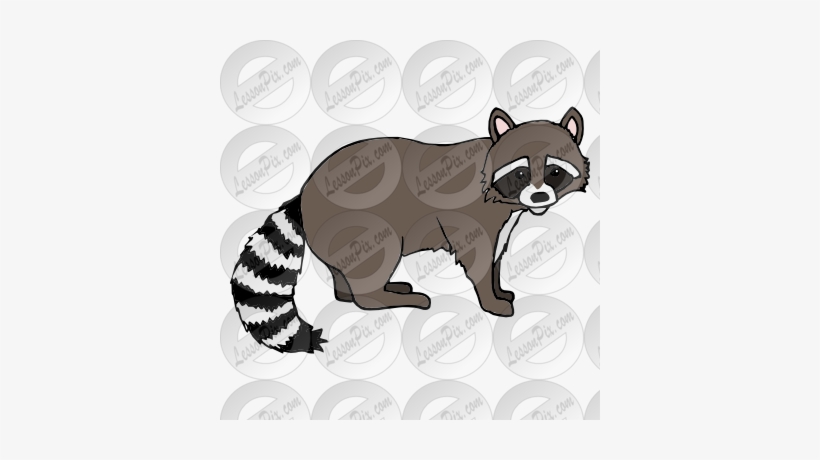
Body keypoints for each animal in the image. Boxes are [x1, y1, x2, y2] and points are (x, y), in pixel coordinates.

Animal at [230, 107, 590, 353]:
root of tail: (305, 193)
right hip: (355, 220)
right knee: (379, 254)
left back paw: (355, 290)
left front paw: (500, 288)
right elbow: (478, 257)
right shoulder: (471, 215)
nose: (540, 197)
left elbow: (496, 257)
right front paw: (490, 300)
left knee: (346, 272)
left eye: (555, 171)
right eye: (521, 173)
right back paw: (384, 297)